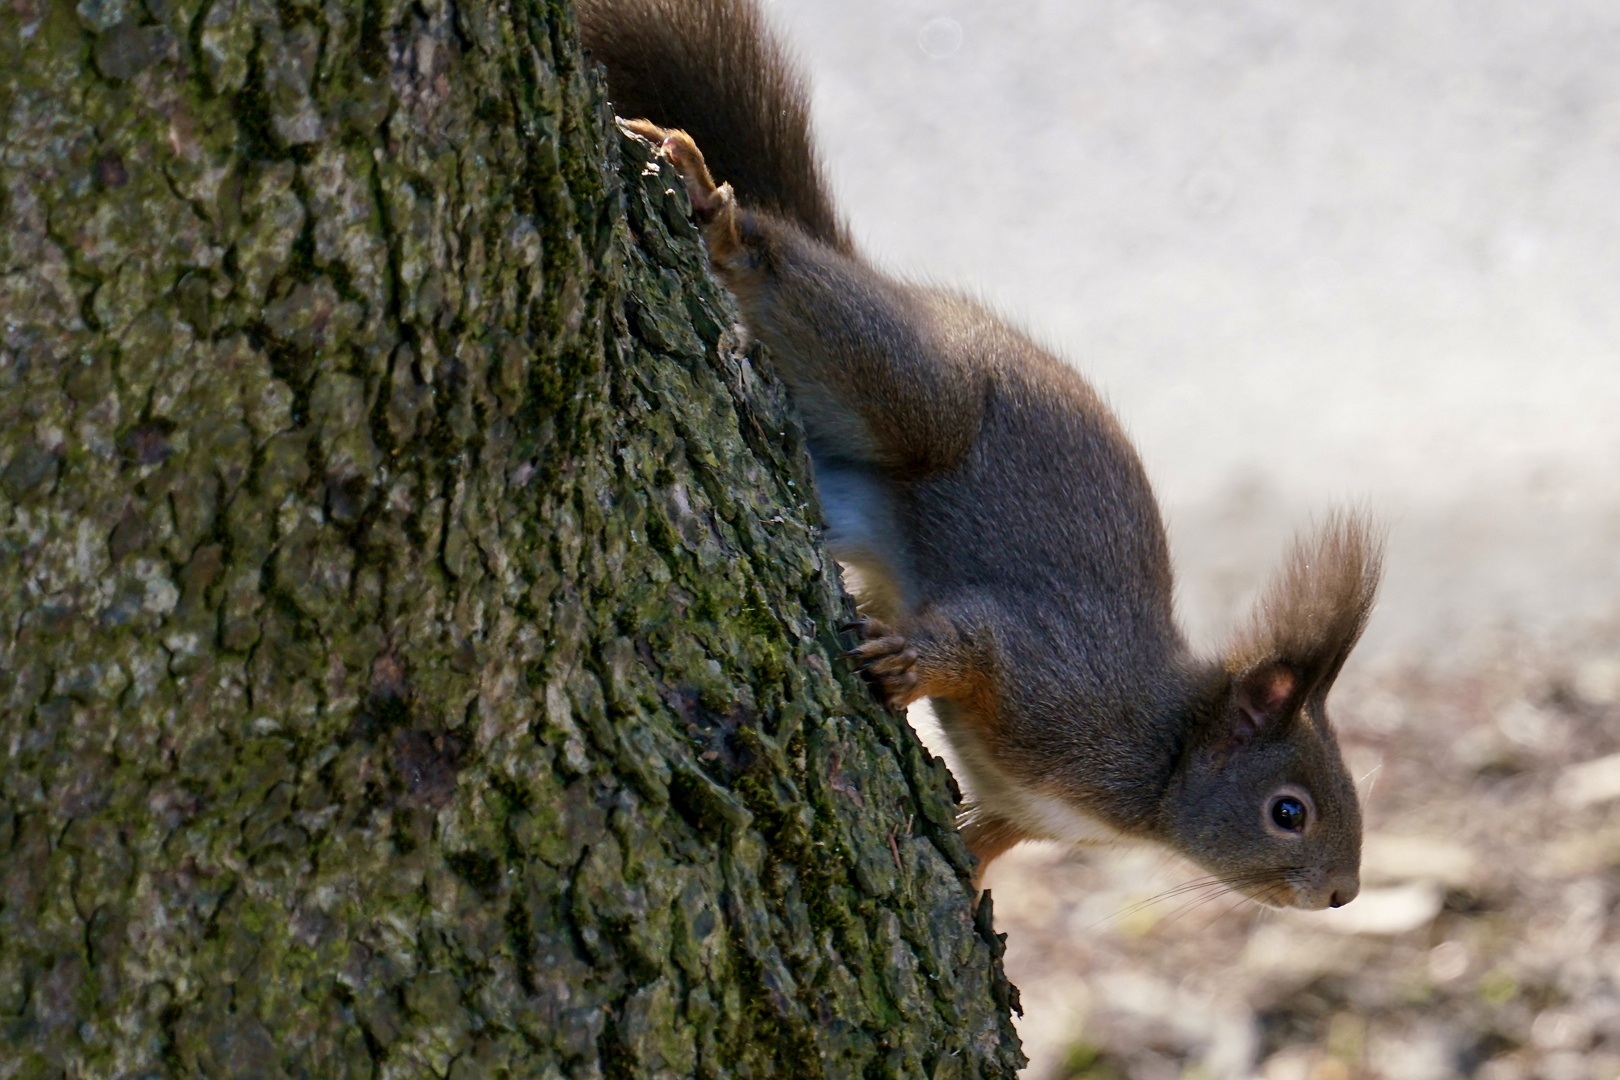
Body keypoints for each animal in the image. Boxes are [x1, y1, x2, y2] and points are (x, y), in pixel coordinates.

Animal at [579, 0, 1380, 913]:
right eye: (1289, 811)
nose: (1344, 893)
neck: (1161, 758)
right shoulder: (1055, 671)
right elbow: (972, 640)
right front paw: (908, 664)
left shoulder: (1020, 806)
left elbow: (987, 837)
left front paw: (968, 879)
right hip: (921, 400)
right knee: (807, 289)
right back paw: (717, 212)